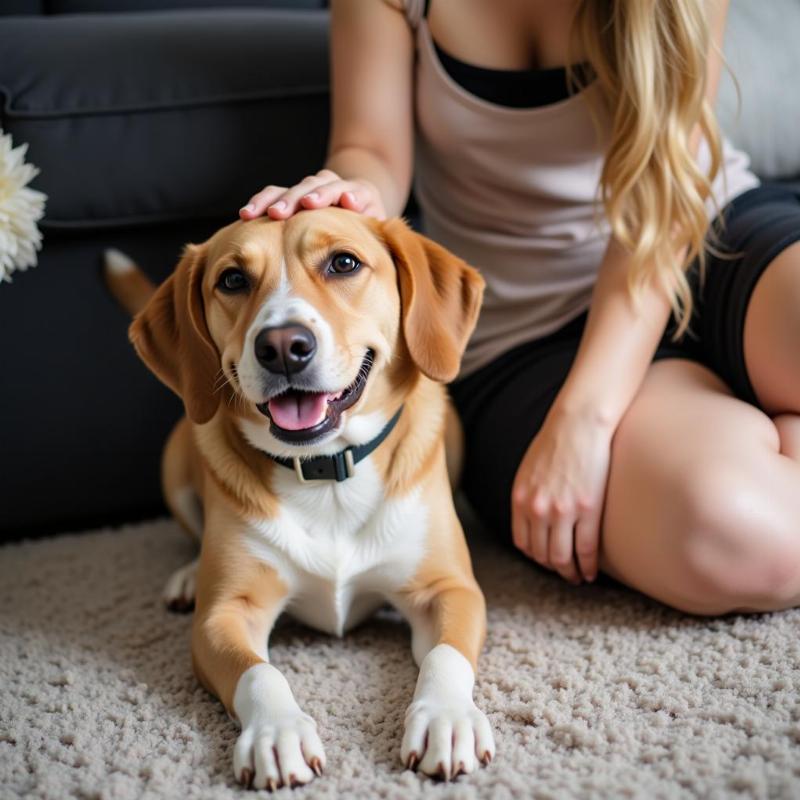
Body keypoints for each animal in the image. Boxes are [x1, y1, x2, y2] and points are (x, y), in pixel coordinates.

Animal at [104, 206, 494, 788]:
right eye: (232, 279)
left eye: (344, 263)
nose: (283, 346)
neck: (328, 473)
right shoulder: (224, 617)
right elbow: (259, 675)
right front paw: (277, 732)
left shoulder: (449, 590)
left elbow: (446, 657)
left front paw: (447, 718)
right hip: (176, 465)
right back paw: (188, 576)